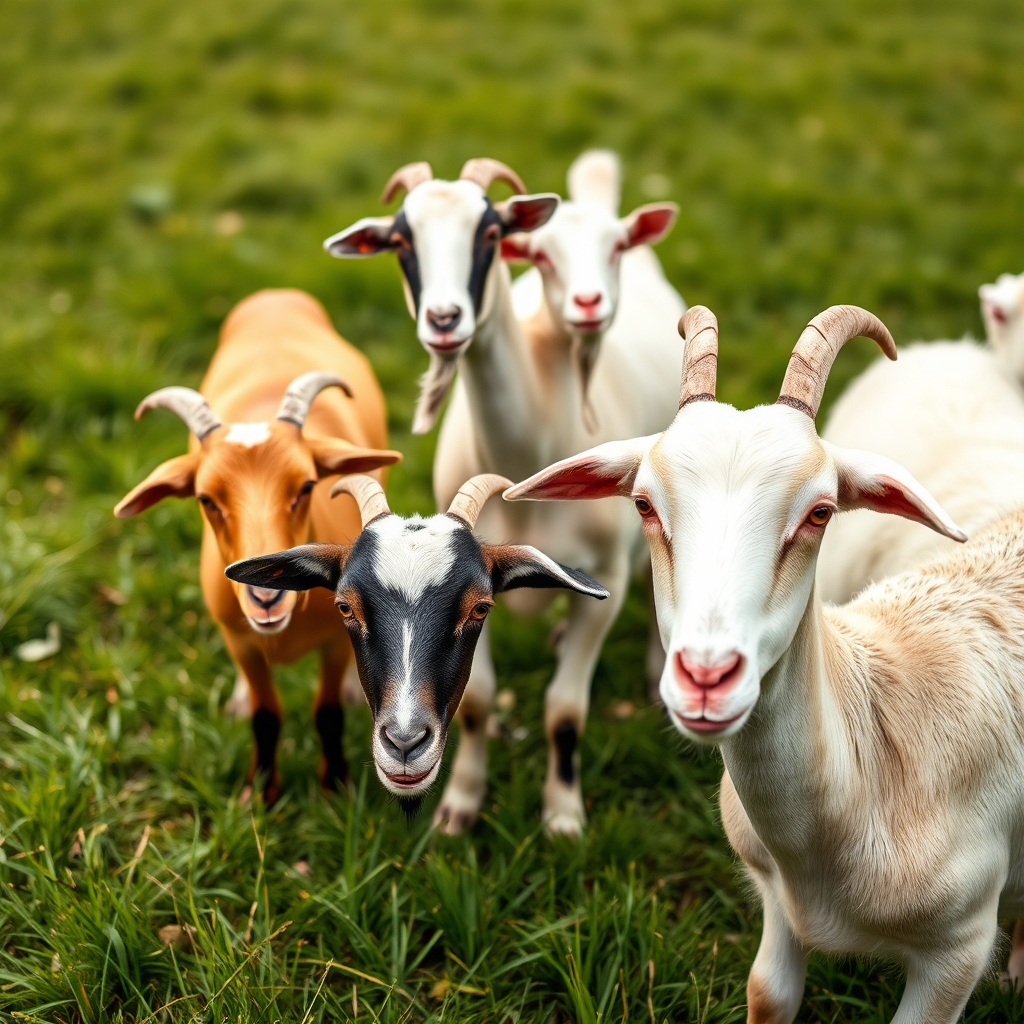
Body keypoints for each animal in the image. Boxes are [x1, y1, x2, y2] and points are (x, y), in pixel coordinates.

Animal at [115, 289, 401, 802]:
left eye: (307, 486)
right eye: (206, 499)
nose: (267, 596)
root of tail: (276, 296)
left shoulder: (334, 642)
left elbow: (327, 712)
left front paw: (336, 787)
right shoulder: (240, 643)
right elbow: (265, 716)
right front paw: (260, 792)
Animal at [323, 156, 683, 834]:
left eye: (490, 233)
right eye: (401, 241)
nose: (444, 320)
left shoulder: (606, 579)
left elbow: (565, 708)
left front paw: (563, 816)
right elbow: (477, 702)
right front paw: (459, 807)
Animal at [507, 305, 1024, 1022]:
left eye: (820, 512)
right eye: (643, 504)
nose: (705, 677)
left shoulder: (957, 951)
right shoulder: (775, 904)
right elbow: (768, 995)